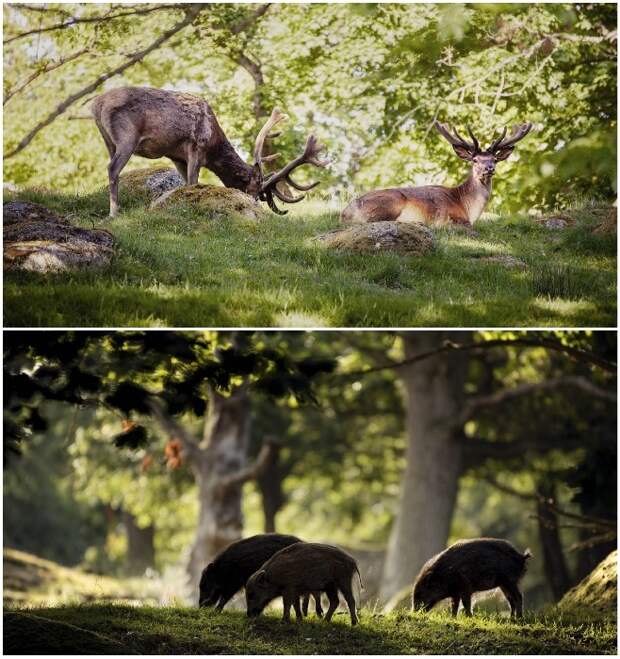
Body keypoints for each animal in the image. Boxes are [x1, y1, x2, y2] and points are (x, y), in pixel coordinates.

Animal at [91, 85, 330, 217]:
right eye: (252, 186)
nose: (254, 206)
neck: (214, 146)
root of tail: (96, 104)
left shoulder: (177, 157)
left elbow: (185, 183)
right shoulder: (197, 147)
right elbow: (193, 182)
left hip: (108, 140)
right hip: (127, 138)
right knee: (112, 169)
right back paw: (114, 212)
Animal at [340, 122, 532, 229]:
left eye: (495, 159)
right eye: (475, 159)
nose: (489, 168)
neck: (467, 206)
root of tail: (345, 213)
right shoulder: (452, 216)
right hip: (390, 202)